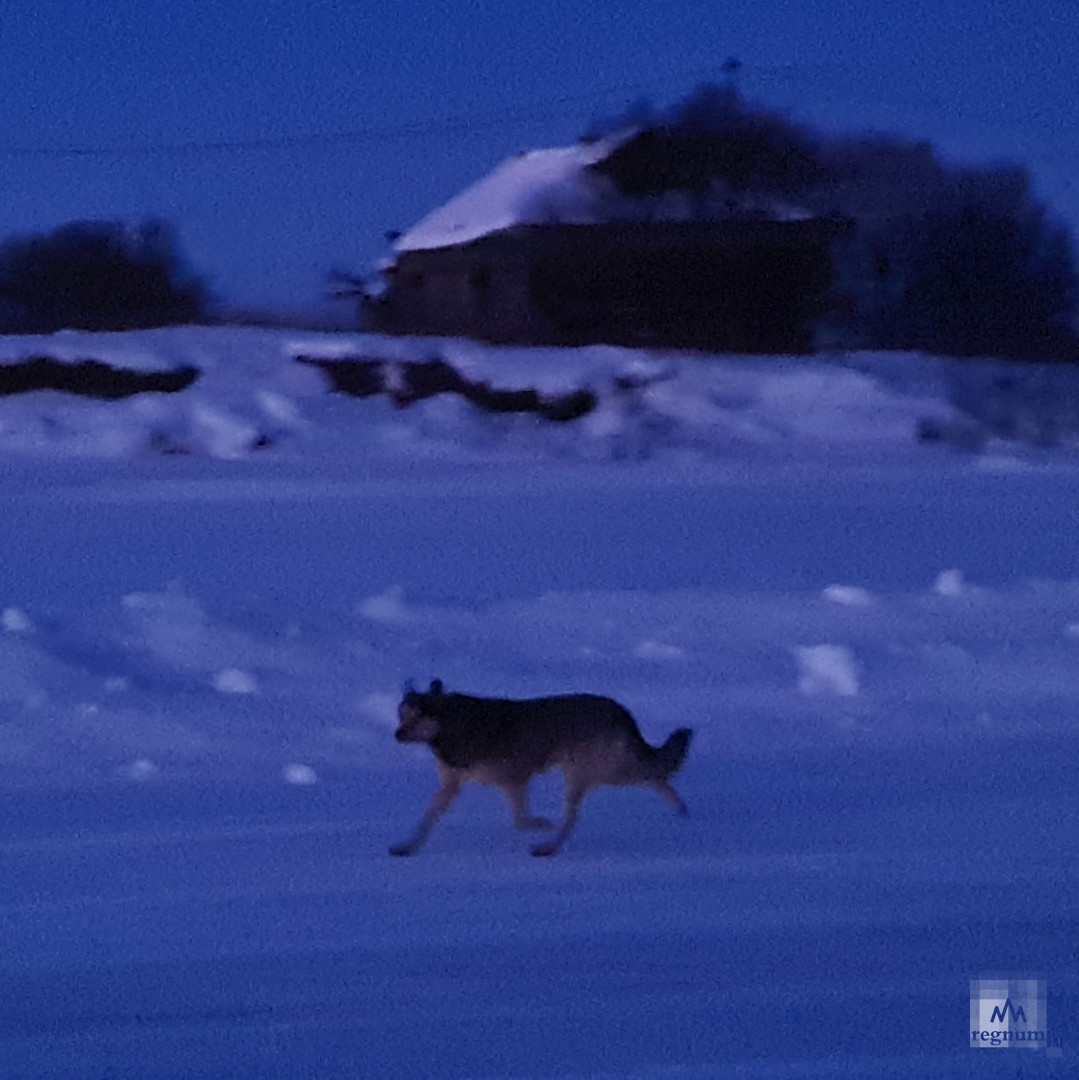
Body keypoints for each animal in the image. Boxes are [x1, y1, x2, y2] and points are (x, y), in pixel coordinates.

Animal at [390, 678, 691, 855]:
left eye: (415, 717)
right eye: (401, 715)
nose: (396, 734)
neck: (451, 726)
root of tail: (622, 711)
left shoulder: (516, 780)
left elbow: (521, 821)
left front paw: (541, 824)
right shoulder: (453, 786)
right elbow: (426, 819)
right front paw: (407, 846)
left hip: (594, 773)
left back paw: (548, 847)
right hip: (598, 772)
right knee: (654, 776)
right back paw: (680, 809)